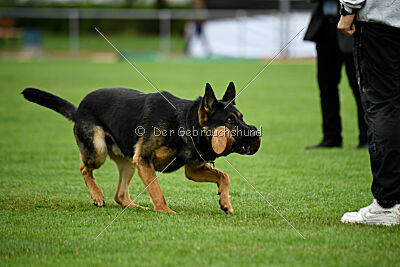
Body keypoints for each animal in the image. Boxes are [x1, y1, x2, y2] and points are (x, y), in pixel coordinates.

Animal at [21, 82, 260, 215]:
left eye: (241, 117)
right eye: (229, 121)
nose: (256, 132)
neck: (183, 123)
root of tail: (79, 108)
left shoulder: (193, 170)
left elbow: (224, 176)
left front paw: (225, 202)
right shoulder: (145, 161)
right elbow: (157, 192)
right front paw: (166, 212)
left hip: (129, 163)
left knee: (120, 195)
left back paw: (136, 207)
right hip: (99, 152)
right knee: (84, 169)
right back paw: (97, 195)